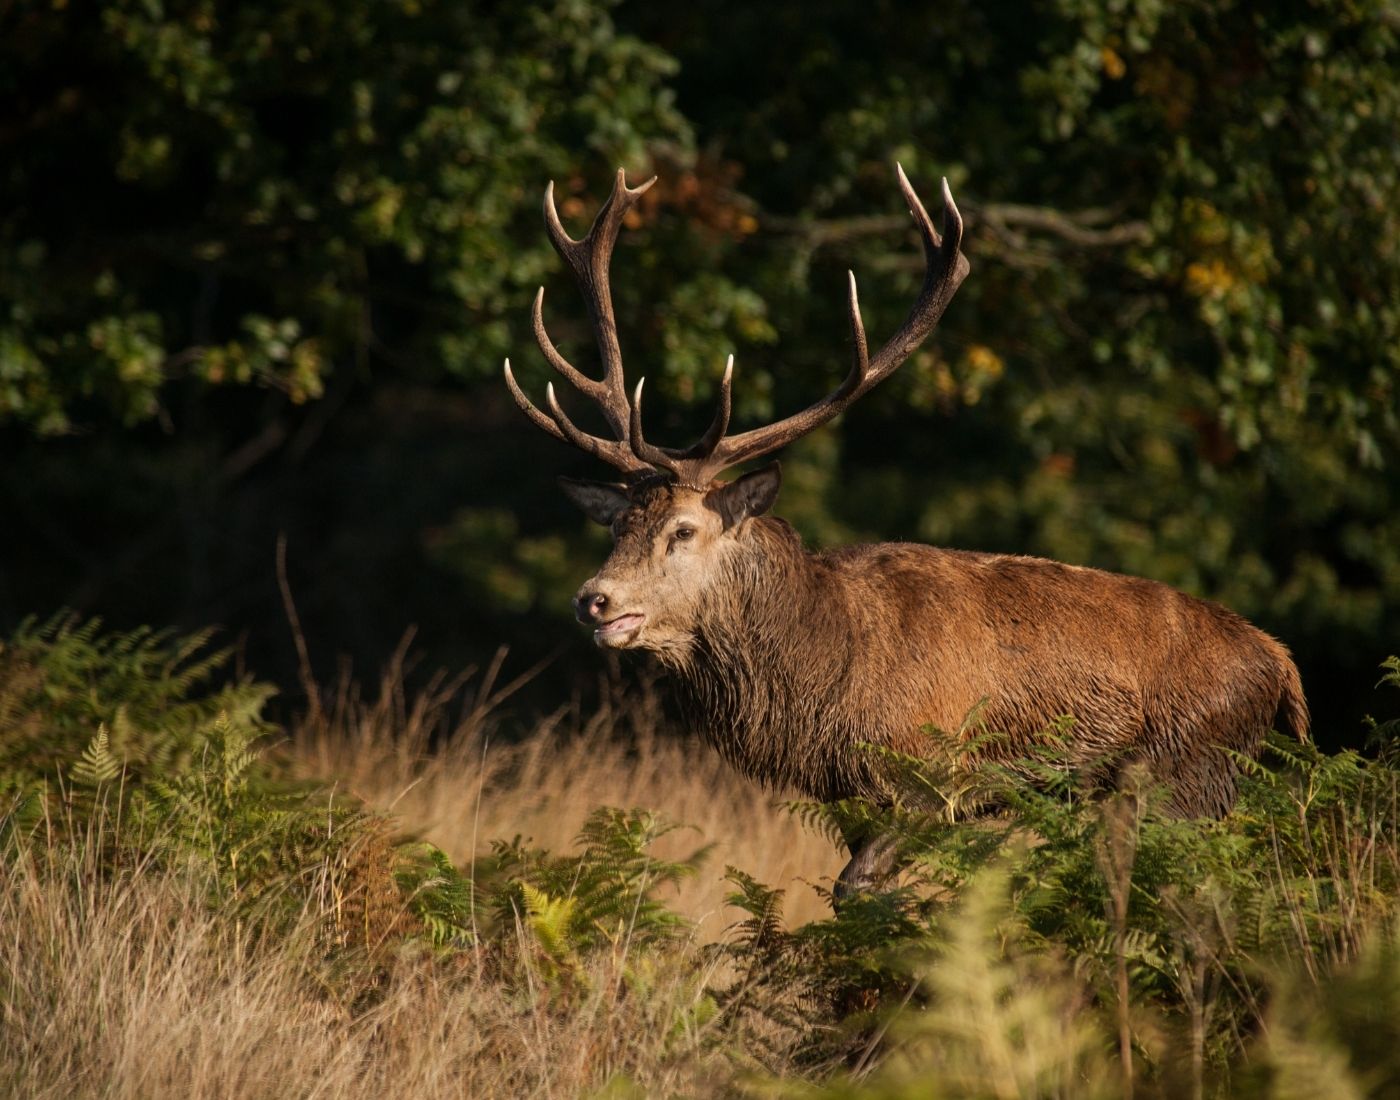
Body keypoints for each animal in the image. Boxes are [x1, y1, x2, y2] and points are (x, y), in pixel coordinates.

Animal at [502, 165, 1310, 898]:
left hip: (1190, 770)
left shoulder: (931, 778)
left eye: (683, 530)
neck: (822, 677)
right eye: (617, 524)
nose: (594, 599)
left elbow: (858, 891)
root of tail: (1281, 665)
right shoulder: (851, 797)